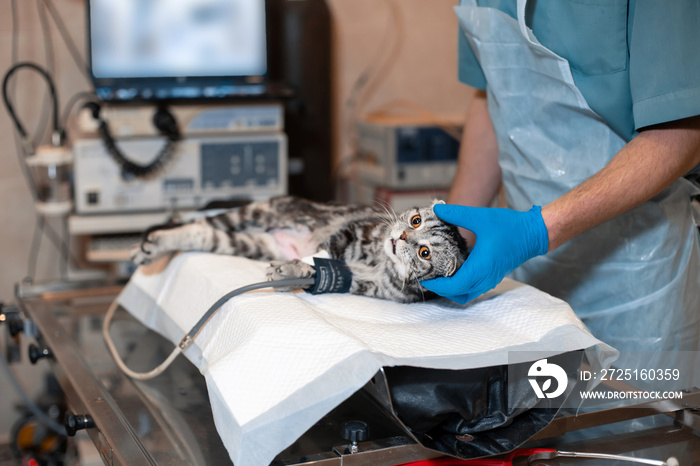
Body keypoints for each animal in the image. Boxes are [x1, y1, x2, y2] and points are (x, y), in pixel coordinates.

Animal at [133, 196, 470, 302]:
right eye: (415, 221)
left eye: (425, 253)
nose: (399, 237)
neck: (381, 261)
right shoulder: (351, 233)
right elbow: (324, 253)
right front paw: (292, 267)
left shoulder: (370, 285)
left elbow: (328, 273)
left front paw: (290, 272)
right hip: (257, 213)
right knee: (194, 223)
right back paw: (150, 244)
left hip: (252, 242)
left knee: (202, 233)